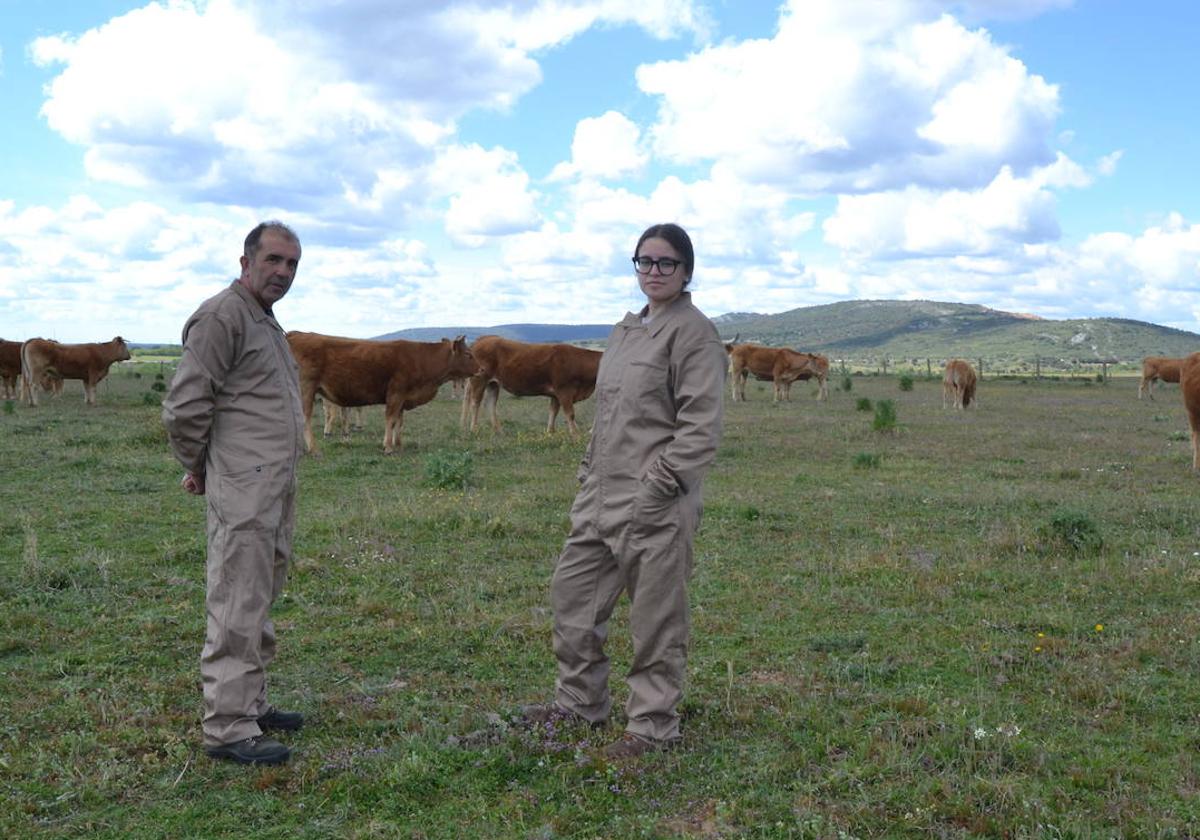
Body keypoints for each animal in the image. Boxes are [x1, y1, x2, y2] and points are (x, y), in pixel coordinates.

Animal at [285, 331, 477, 456]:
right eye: (468, 354)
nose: (481, 369)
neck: (420, 359)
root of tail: (296, 334)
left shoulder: (402, 398)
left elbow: (399, 422)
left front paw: (398, 444)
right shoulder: (396, 394)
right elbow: (390, 420)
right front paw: (388, 447)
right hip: (306, 389)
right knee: (304, 418)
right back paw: (313, 449)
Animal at [463, 333, 604, 432]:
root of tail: (484, 339)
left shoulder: (555, 395)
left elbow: (553, 412)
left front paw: (550, 433)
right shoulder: (564, 391)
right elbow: (570, 414)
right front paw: (576, 435)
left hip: (493, 383)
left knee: (490, 404)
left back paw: (498, 431)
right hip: (479, 380)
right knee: (475, 403)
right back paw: (474, 429)